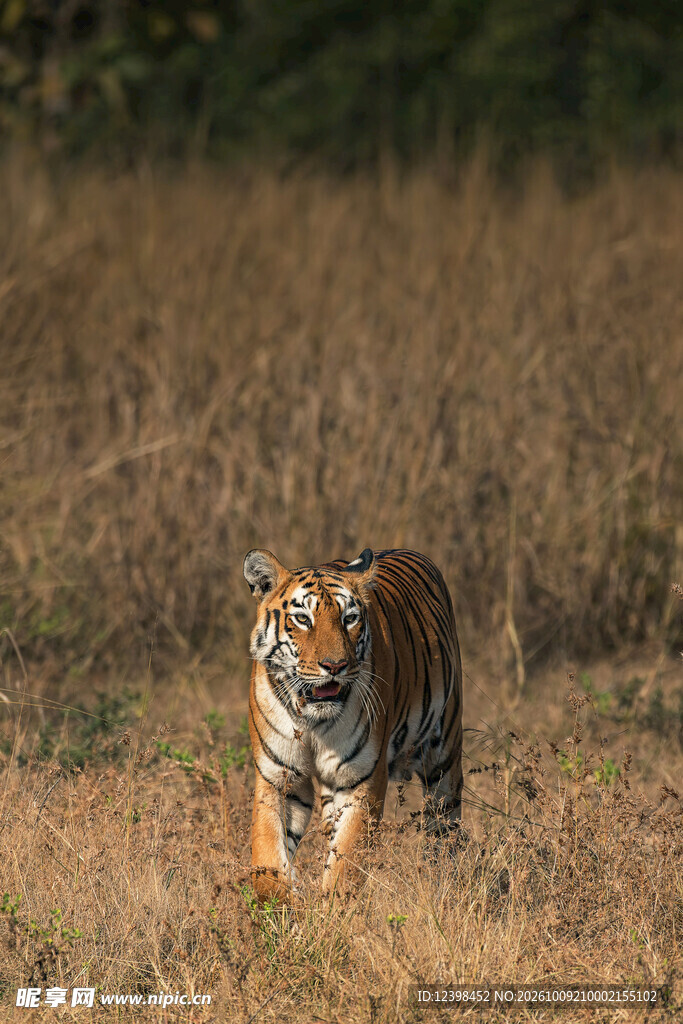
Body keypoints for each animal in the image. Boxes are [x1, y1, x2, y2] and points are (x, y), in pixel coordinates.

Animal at [243, 546, 463, 902]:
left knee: (445, 827)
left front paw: (331, 912)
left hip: (444, 755)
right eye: (302, 619)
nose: (335, 666)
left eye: (350, 619)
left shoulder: (362, 779)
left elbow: (345, 865)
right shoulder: (277, 776)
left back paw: (444, 879)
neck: (311, 720)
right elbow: (267, 857)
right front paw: (280, 906)